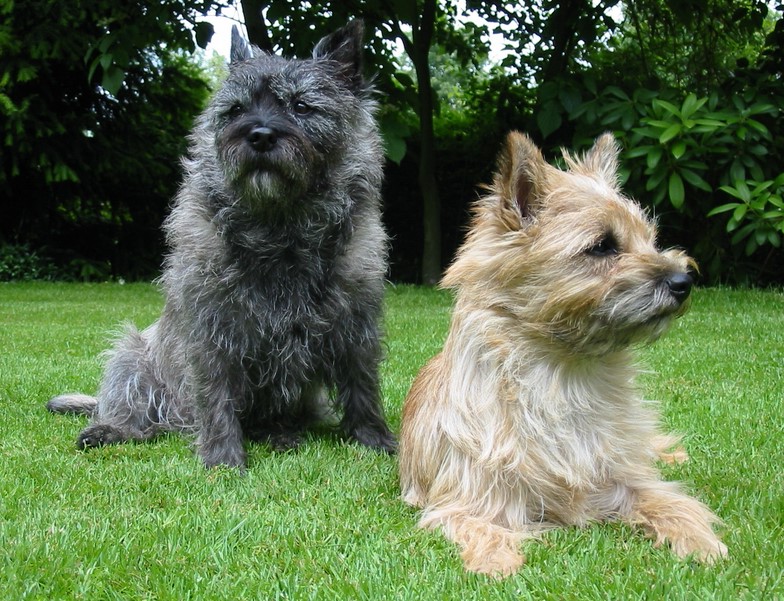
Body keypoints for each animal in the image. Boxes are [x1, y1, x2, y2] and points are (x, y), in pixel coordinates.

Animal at [46, 21, 396, 466]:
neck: (280, 226)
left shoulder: (356, 323)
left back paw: (280, 434)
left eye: (301, 106)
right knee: (139, 413)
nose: (259, 135)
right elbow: (216, 393)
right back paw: (112, 429)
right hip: (132, 355)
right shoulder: (212, 328)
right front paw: (222, 458)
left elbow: (362, 385)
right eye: (236, 110)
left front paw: (375, 440)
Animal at [402, 131, 724, 576]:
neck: (564, 375)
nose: (683, 281)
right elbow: (482, 528)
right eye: (602, 246)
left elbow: (672, 502)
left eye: (650, 239)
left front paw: (700, 542)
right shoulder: (472, 498)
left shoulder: (625, 481)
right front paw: (497, 562)